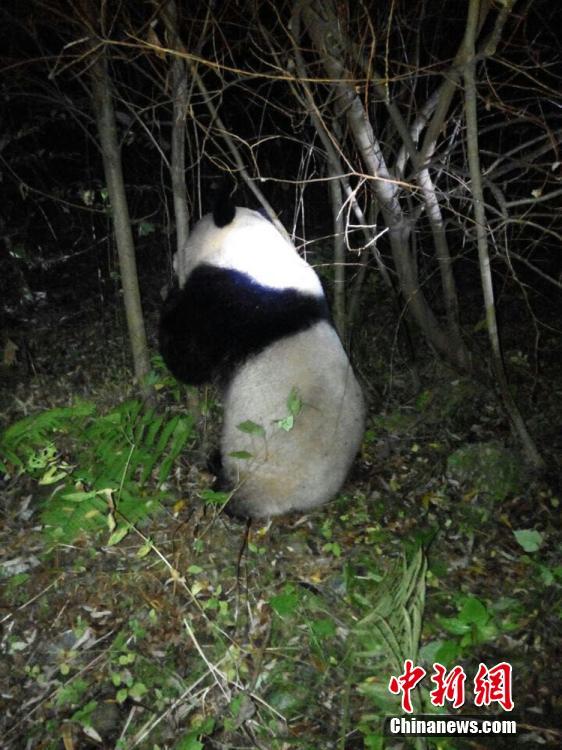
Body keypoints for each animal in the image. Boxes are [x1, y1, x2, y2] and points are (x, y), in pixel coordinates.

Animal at [159, 196, 365, 519]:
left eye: (189, 236)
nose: (174, 257)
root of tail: (300, 503)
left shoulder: (230, 302)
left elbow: (190, 360)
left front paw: (168, 299)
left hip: (258, 466)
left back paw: (217, 473)